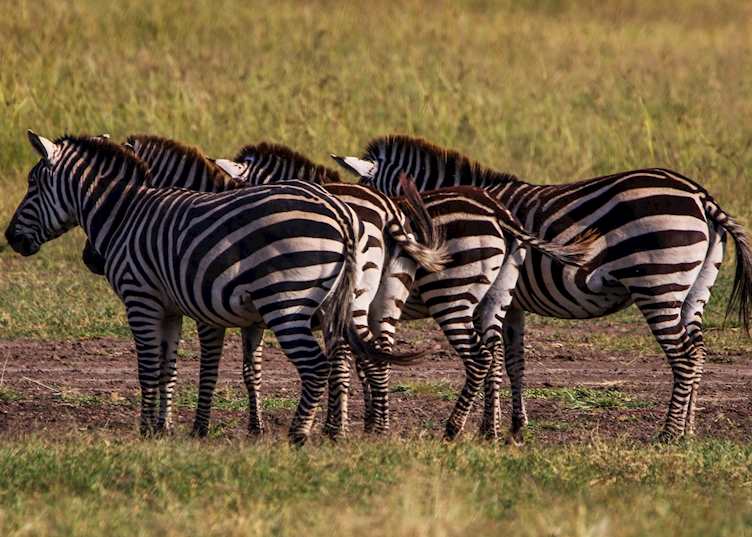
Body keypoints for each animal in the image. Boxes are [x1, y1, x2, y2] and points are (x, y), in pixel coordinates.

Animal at [5, 132, 400, 445]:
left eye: (32, 184)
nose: (9, 238)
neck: (125, 214)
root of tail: (343, 214)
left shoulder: (144, 299)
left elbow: (154, 367)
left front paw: (154, 429)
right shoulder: (172, 307)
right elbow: (171, 367)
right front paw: (164, 428)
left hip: (287, 302)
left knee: (318, 365)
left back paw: (300, 434)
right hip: (343, 304)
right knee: (356, 356)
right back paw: (351, 429)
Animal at [217, 143, 593, 438]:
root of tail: (498, 213)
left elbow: (347, 361)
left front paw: (342, 425)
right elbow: (362, 360)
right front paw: (365, 422)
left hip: (451, 294)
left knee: (480, 357)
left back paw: (454, 428)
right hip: (496, 296)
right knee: (496, 354)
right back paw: (491, 430)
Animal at [332, 134, 752, 442]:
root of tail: (700, 195)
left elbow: (494, 359)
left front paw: (489, 428)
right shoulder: (512, 302)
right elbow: (512, 362)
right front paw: (510, 428)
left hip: (658, 283)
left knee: (682, 356)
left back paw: (668, 434)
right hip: (693, 290)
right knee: (698, 352)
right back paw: (689, 431)